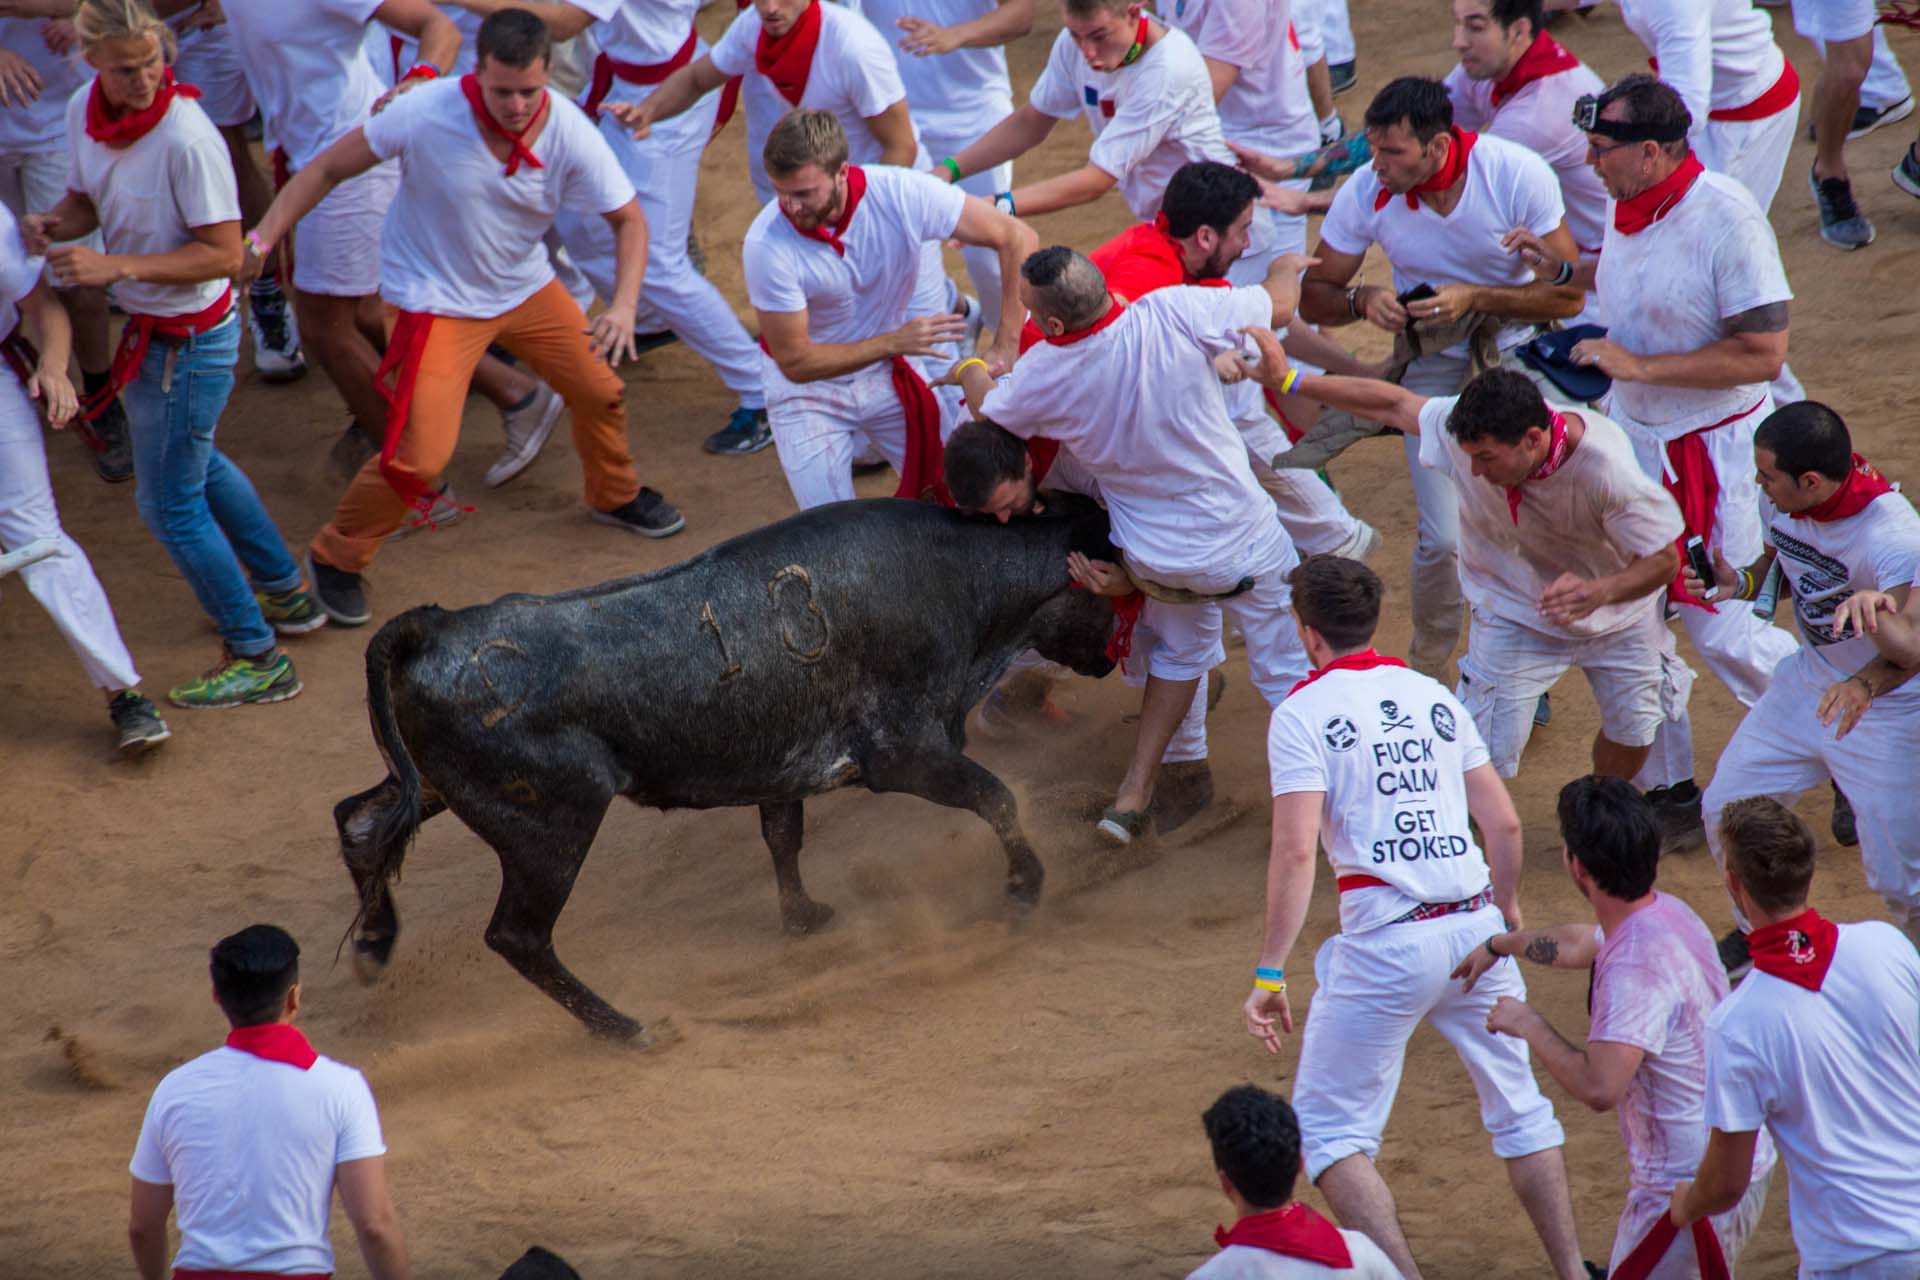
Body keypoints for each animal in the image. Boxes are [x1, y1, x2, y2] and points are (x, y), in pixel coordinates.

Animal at [332, 495, 1121, 1036]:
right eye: (1113, 594)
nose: (1112, 661)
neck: (965, 576)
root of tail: (437, 625)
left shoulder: (781, 766)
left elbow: (782, 835)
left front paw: (804, 917)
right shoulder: (907, 754)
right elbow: (996, 798)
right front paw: (1025, 887)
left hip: (438, 785)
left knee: (361, 821)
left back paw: (373, 946)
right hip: (552, 824)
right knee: (517, 936)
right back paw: (628, 1030)